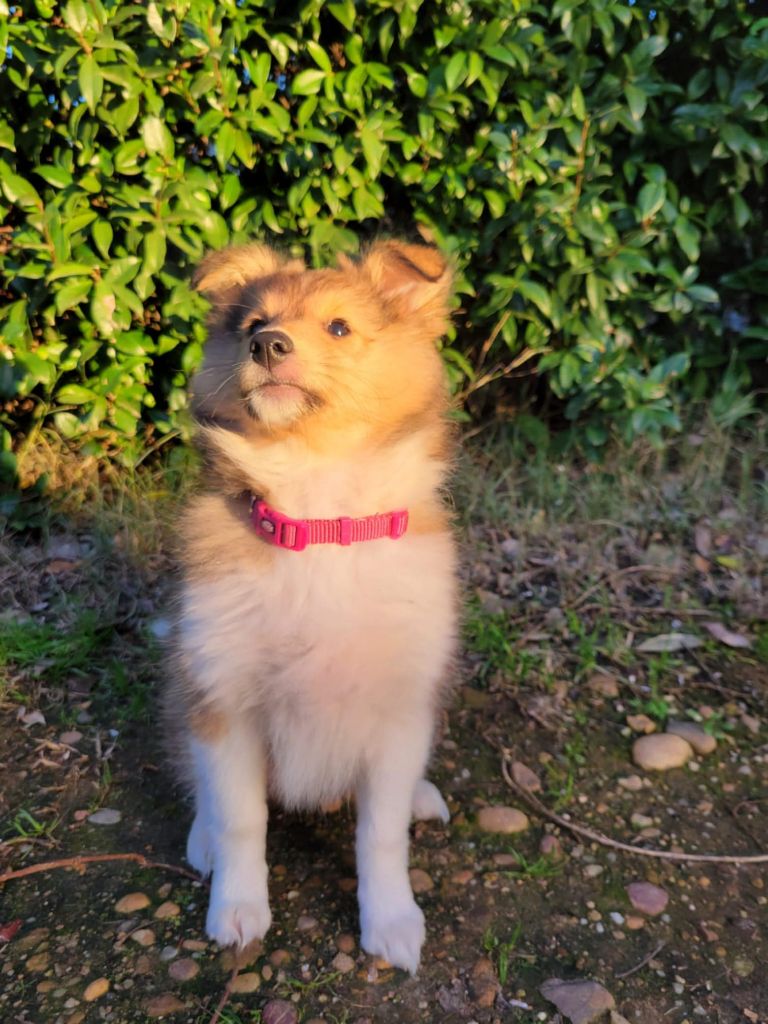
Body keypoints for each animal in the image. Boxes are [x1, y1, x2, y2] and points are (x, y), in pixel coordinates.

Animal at [165, 235, 460, 970]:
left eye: (339, 328)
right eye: (252, 322)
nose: (267, 345)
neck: (319, 517)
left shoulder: (398, 706)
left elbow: (380, 833)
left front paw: (393, 922)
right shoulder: (224, 697)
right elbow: (241, 818)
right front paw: (238, 911)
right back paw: (201, 839)